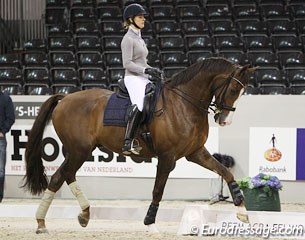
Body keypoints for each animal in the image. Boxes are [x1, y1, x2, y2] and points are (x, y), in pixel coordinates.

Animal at [21, 57, 255, 233]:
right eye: (233, 89)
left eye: (242, 92)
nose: (224, 120)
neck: (183, 104)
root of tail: (65, 97)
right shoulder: (167, 157)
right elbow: (158, 190)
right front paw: (150, 224)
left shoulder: (196, 152)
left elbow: (226, 172)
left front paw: (242, 211)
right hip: (79, 150)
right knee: (63, 175)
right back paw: (51, 220)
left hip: (78, 151)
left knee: (62, 176)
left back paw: (68, 218)